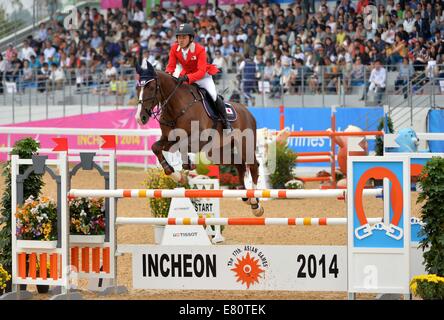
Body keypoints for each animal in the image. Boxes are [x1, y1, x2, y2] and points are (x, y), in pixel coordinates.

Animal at [134, 61, 262, 216]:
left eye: (151, 87)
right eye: (137, 87)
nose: (140, 118)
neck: (176, 107)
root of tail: (248, 112)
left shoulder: (199, 139)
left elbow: (182, 145)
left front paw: (186, 167)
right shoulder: (168, 139)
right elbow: (156, 147)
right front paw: (176, 174)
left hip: (245, 145)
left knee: (253, 166)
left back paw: (255, 203)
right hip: (218, 152)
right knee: (239, 165)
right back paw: (245, 196)